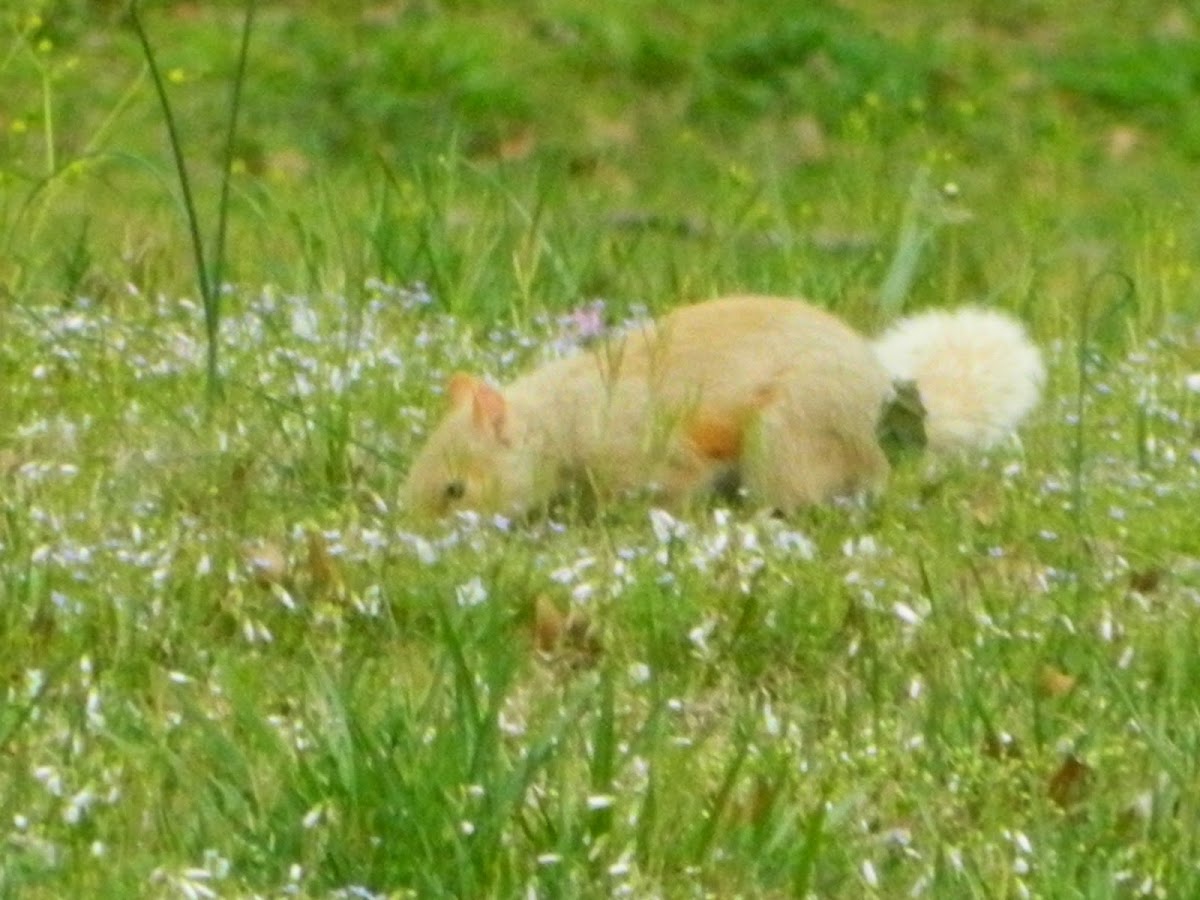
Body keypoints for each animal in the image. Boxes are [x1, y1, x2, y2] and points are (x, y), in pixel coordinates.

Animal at [402, 295, 1045, 519]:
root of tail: (881, 401)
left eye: (456, 490)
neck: (561, 418)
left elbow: (674, 485)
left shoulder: (642, 451)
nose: (419, 540)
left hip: (788, 434)